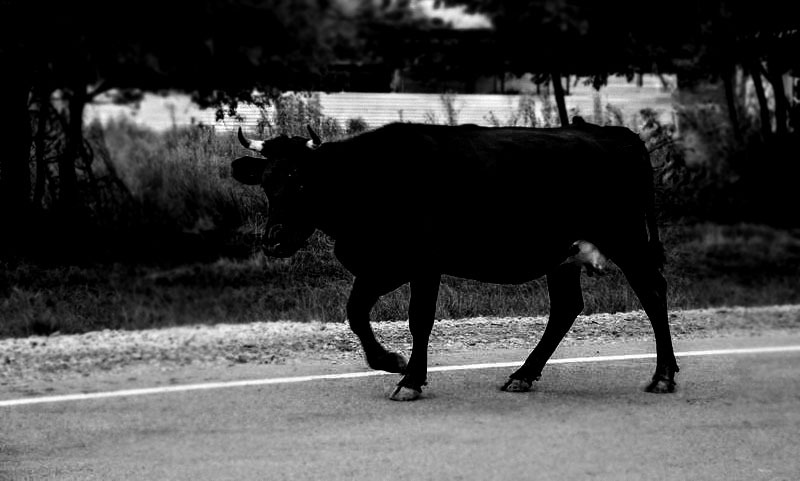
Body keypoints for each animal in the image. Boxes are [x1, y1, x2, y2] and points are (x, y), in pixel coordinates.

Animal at [234, 118, 680, 400]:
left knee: (653, 292)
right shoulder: (383, 265)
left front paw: (410, 380)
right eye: (267, 182)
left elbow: (419, 319)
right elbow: (355, 311)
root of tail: (614, 133)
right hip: (564, 256)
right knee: (567, 308)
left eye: (302, 181)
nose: (274, 241)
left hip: (625, 239)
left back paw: (662, 376)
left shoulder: (424, 263)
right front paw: (388, 361)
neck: (372, 179)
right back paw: (523, 375)